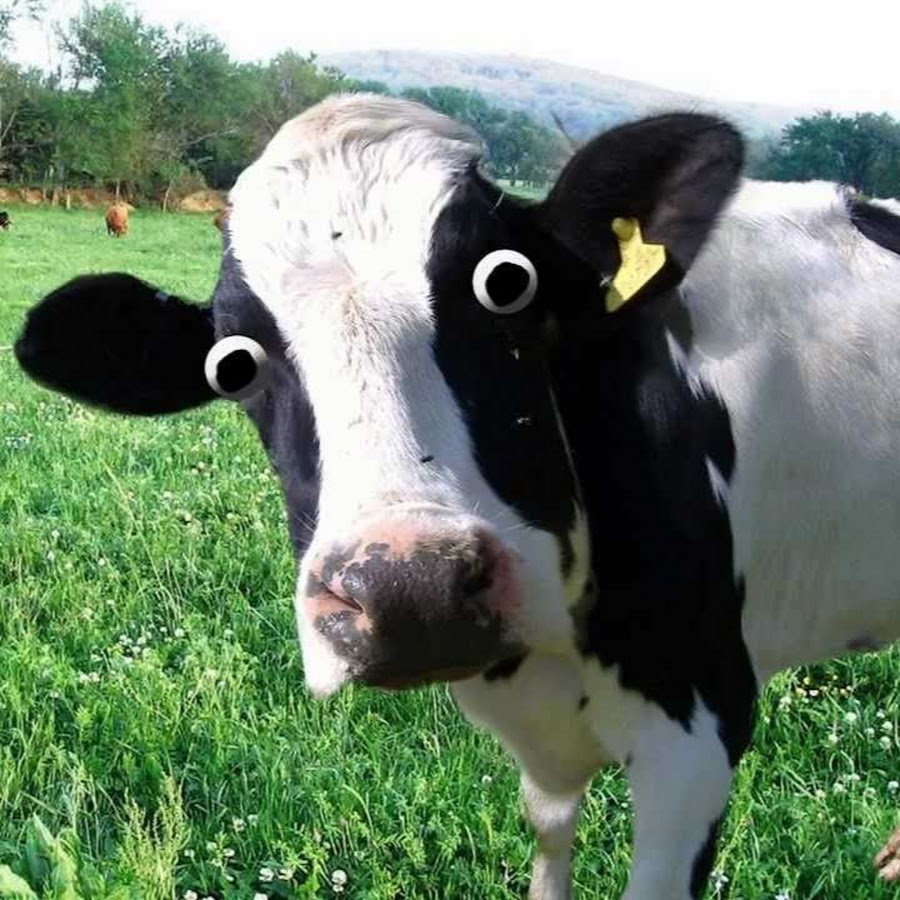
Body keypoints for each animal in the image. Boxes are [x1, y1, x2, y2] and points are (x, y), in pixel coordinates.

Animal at [13, 94, 900, 900]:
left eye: (509, 285)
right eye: (232, 365)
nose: (411, 589)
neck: (551, 658)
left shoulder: (700, 723)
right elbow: (549, 835)